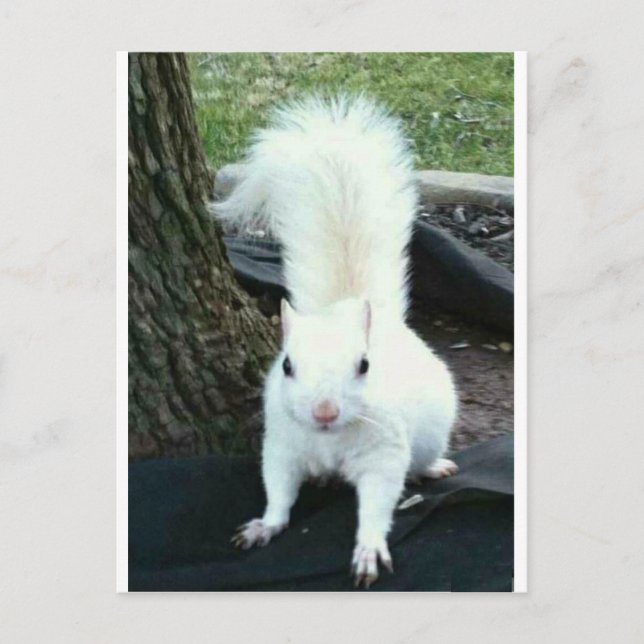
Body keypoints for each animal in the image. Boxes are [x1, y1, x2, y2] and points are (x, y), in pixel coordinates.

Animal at [218, 95, 458, 588]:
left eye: (364, 365)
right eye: (287, 366)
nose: (324, 412)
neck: (329, 440)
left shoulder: (384, 453)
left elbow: (378, 503)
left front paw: (368, 550)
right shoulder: (283, 445)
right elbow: (279, 489)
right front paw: (264, 526)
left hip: (430, 432)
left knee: (422, 459)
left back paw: (434, 466)